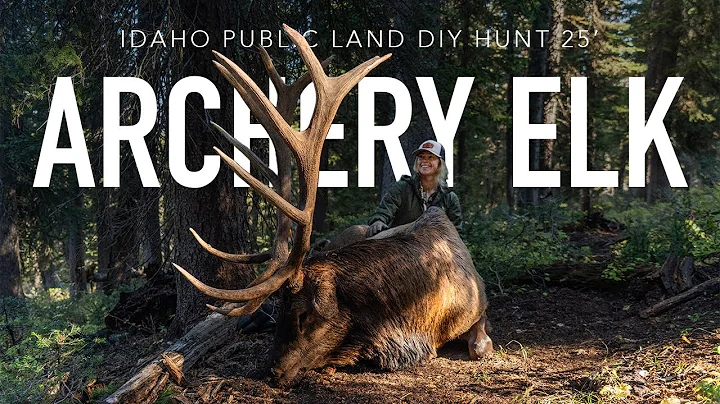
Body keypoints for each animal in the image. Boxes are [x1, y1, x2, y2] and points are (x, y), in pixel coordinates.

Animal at [172, 24, 493, 386]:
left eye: (304, 315)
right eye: (282, 310)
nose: (272, 371)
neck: (418, 316)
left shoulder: (480, 305)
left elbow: (479, 346)